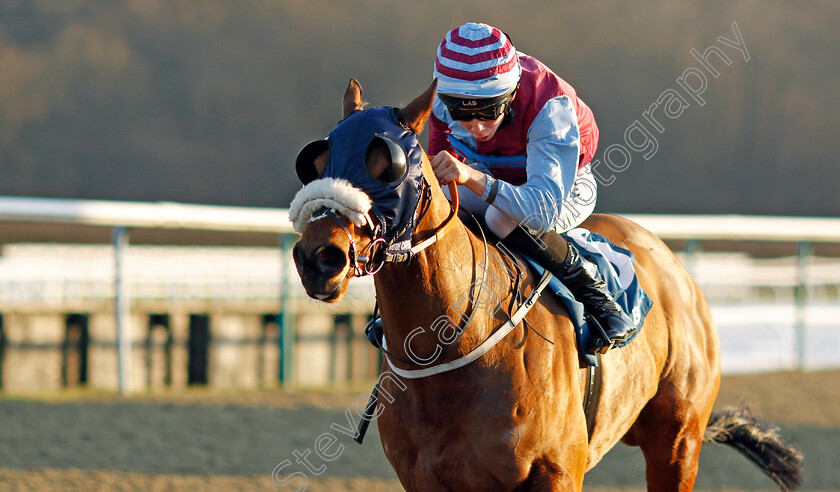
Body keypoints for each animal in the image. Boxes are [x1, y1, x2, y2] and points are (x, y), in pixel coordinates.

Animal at [288, 79, 800, 490]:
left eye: (389, 165)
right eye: (317, 159)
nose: (318, 257)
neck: (456, 347)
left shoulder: (555, 472)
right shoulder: (426, 478)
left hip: (677, 442)